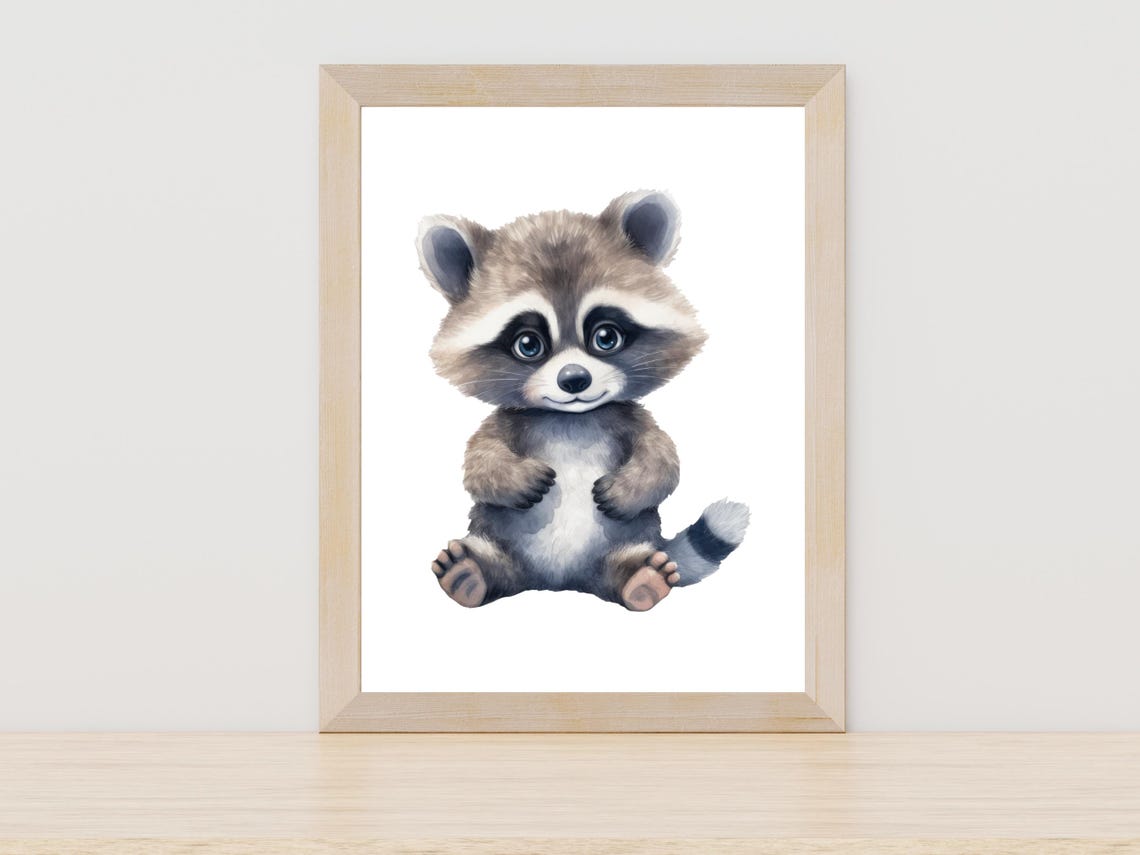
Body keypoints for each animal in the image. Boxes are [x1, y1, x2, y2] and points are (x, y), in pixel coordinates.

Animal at [417, 190, 750, 611]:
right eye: (528, 344)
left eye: (605, 337)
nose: (574, 379)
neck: (571, 418)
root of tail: (558, 582)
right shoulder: (508, 419)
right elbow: (480, 460)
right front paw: (510, 476)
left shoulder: (628, 417)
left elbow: (663, 457)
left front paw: (633, 486)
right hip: (501, 541)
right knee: (492, 560)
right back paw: (470, 573)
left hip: (624, 544)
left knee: (626, 565)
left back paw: (640, 579)